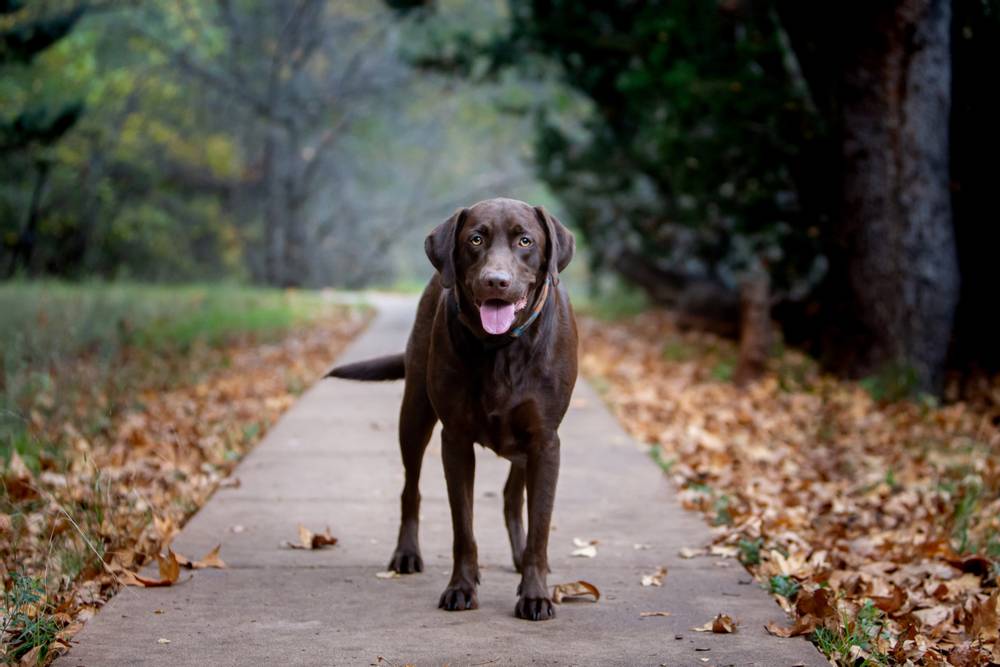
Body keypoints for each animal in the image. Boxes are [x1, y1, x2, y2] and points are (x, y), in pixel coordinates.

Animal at [328, 197, 580, 620]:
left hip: (525, 446)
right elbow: (463, 526)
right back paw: (407, 554)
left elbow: (540, 526)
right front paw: (461, 587)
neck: (500, 349)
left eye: (525, 240)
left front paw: (535, 593)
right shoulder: (456, 441)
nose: (496, 280)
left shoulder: (546, 442)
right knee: (410, 490)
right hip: (414, 414)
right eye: (475, 239)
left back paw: (518, 556)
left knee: (513, 497)